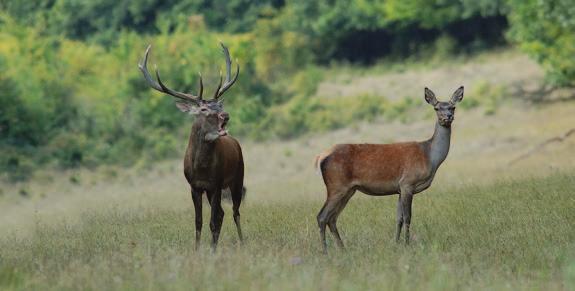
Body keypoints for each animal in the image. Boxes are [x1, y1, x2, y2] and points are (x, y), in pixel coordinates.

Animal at [141, 44, 246, 252]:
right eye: (204, 109)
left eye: (219, 105)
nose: (225, 115)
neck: (202, 168)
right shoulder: (194, 186)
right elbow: (198, 221)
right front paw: (197, 250)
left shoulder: (216, 183)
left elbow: (212, 221)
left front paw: (212, 251)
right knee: (223, 213)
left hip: (238, 178)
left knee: (234, 212)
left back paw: (241, 241)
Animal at [316, 86, 464, 253]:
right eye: (436, 108)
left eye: (453, 107)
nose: (448, 117)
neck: (430, 157)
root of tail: (322, 158)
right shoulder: (407, 183)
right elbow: (408, 217)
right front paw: (406, 244)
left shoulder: (399, 188)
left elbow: (398, 218)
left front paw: (396, 243)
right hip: (336, 186)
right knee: (322, 216)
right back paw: (325, 251)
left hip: (348, 190)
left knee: (332, 218)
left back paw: (342, 248)